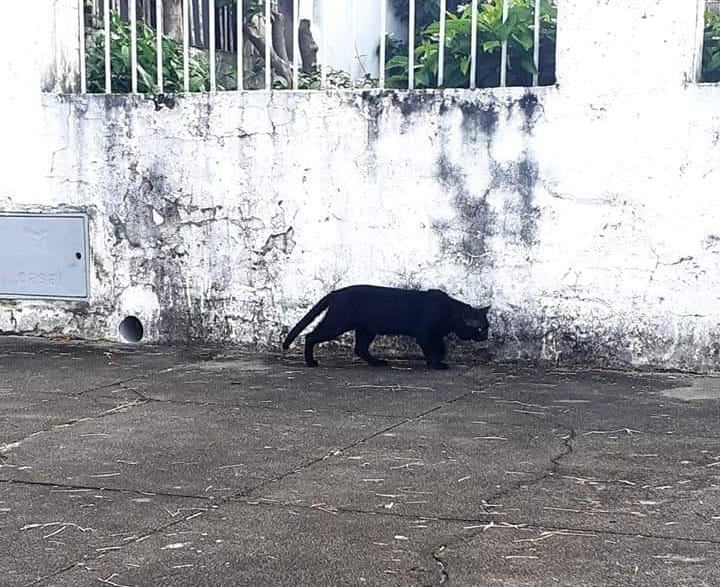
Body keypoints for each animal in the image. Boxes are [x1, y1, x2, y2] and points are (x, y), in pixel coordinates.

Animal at [282, 284, 490, 370]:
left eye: (487, 327)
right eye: (480, 328)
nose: (486, 336)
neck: (449, 313)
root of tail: (336, 292)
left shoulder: (436, 336)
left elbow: (441, 348)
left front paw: (439, 360)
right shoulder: (425, 334)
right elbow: (432, 350)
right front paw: (436, 364)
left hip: (366, 330)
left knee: (360, 348)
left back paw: (377, 362)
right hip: (336, 324)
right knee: (310, 336)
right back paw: (310, 362)